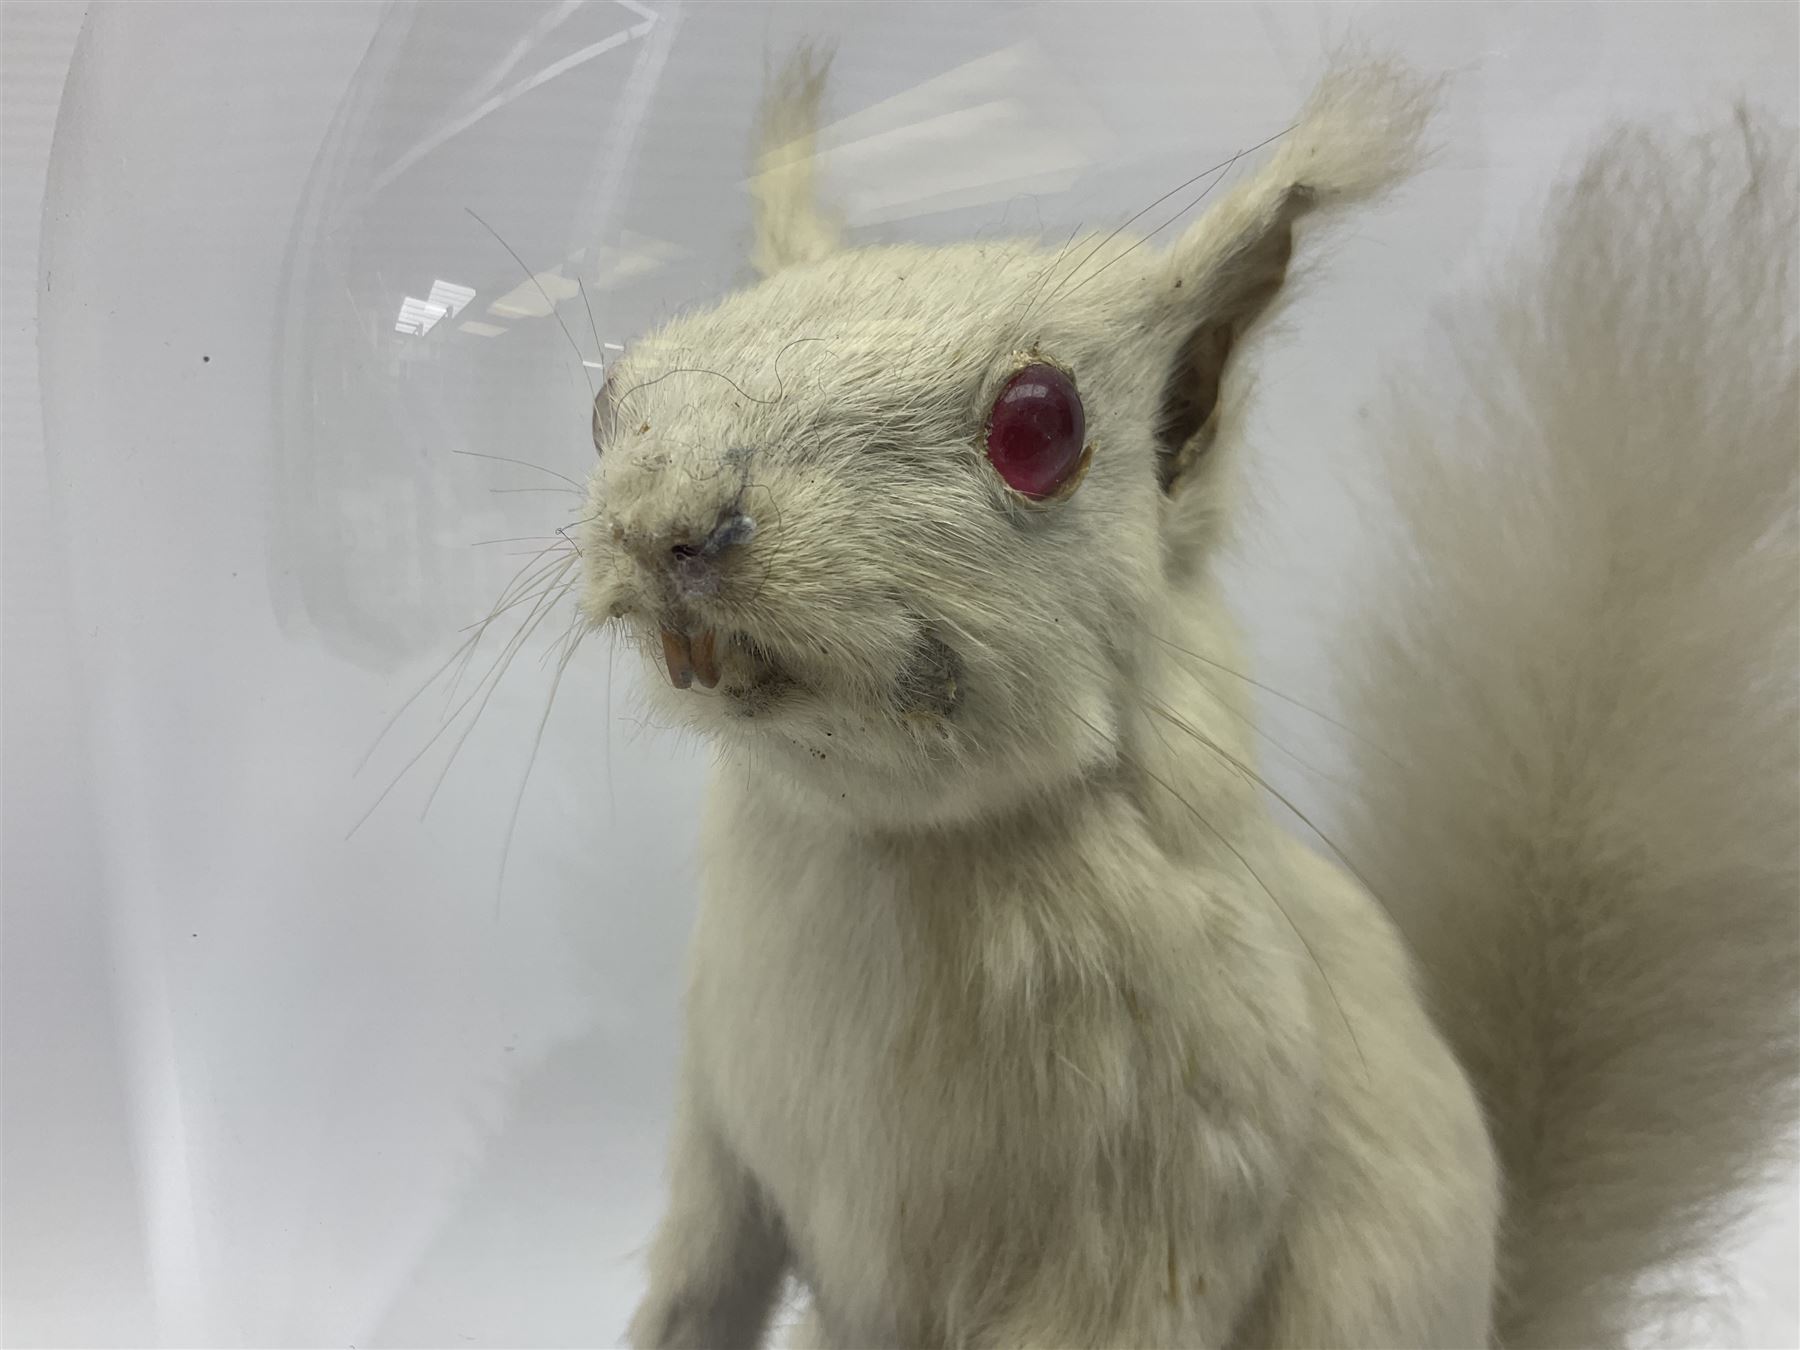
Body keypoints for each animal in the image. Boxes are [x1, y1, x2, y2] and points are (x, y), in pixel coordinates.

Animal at [573, 49, 1799, 1350]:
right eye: (608, 397)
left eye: (1039, 427)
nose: (664, 525)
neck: (883, 842)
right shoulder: (719, 1105)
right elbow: (705, 1263)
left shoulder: (1182, 1156)